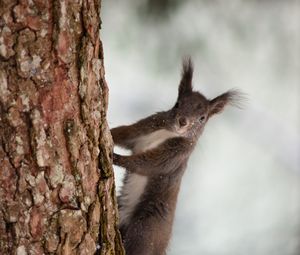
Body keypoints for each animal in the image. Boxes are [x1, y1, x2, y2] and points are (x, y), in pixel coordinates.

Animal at [110, 58, 241, 255]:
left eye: (202, 118)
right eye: (177, 103)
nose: (182, 122)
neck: (169, 133)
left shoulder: (175, 156)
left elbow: (147, 163)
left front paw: (116, 157)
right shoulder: (144, 129)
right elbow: (125, 133)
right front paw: (107, 133)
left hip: (146, 229)